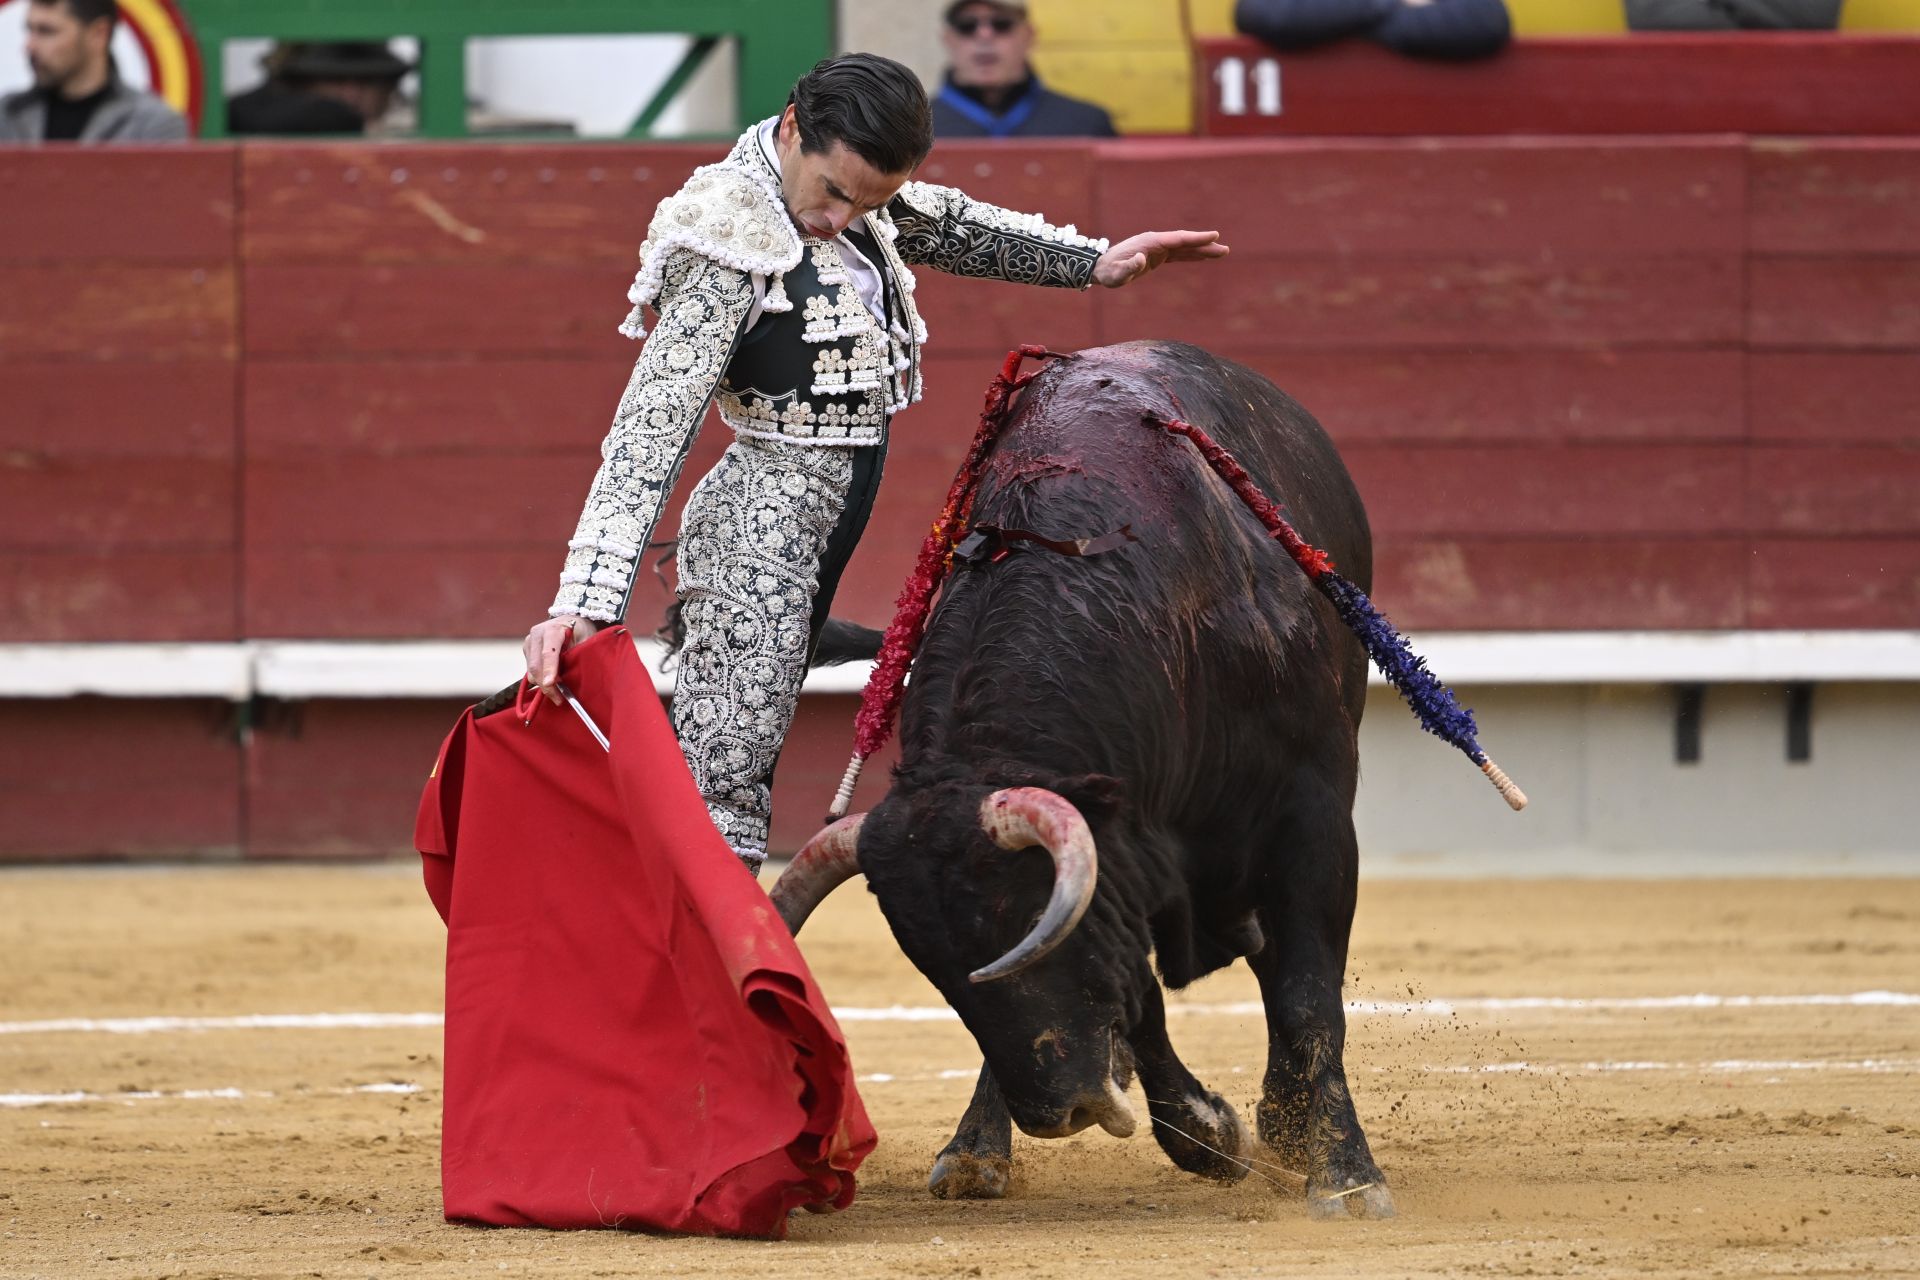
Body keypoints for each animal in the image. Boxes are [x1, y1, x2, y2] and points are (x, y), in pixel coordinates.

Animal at [768, 339, 1397, 1220]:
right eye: (936, 972)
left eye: (1021, 922)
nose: (1056, 1113)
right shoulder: (1121, 871)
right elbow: (1136, 995)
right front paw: (1208, 1134)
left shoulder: (1310, 817)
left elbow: (1307, 992)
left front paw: (1343, 1175)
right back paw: (978, 1153)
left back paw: (1288, 1122)